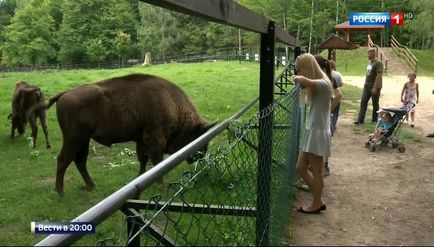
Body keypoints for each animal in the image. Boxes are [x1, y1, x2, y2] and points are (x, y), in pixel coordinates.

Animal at [48, 73, 215, 195]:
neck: (173, 104)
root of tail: (65, 94)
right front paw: (161, 185)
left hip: (84, 140)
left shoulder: (141, 141)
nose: (200, 156)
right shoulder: (155, 139)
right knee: (63, 159)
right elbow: (157, 162)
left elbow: (143, 160)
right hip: (74, 139)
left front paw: (140, 178)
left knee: (80, 161)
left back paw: (92, 186)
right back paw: (60, 191)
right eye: (200, 138)